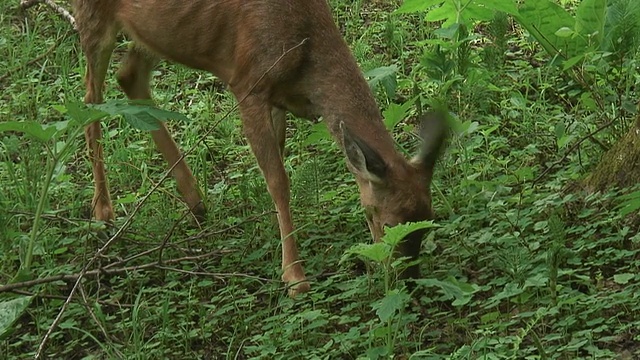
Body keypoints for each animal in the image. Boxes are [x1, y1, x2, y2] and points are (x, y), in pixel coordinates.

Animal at [72, 0, 448, 296]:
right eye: (386, 221)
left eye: (428, 221)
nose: (409, 280)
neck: (303, 49)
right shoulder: (247, 83)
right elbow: (279, 181)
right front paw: (295, 277)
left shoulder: (277, 98)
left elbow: (276, 166)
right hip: (93, 16)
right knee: (90, 100)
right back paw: (103, 210)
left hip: (154, 33)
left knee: (128, 75)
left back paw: (195, 201)